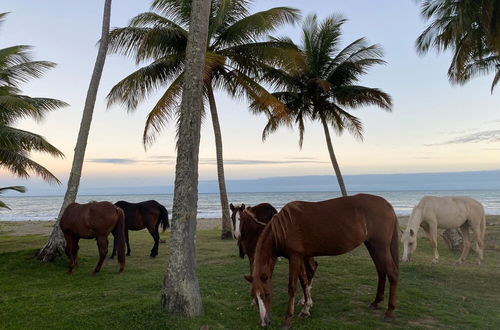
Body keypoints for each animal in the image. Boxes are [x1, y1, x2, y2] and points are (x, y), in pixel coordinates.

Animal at [244, 193, 400, 328]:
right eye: (255, 297)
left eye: (267, 294)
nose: (264, 322)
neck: (283, 229)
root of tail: (387, 204)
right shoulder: (300, 257)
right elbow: (304, 282)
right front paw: (305, 309)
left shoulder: (295, 257)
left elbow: (292, 287)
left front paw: (288, 320)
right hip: (372, 245)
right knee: (381, 271)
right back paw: (376, 302)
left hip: (381, 246)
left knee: (392, 273)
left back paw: (390, 312)